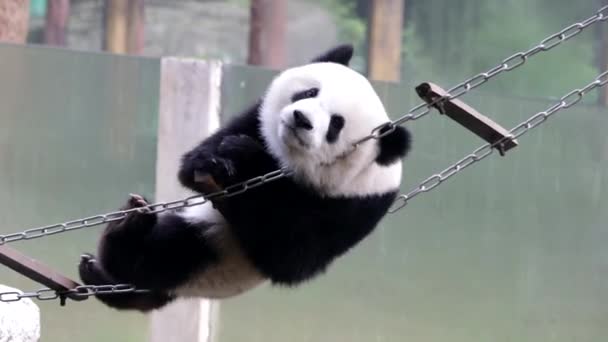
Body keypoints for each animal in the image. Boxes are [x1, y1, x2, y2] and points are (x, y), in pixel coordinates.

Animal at [78, 44, 410, 312]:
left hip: (207, 252)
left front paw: (246, 157)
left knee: (159, 257)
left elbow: (289, 256)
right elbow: (192, 165)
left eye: (336, 124)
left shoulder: (355, 204)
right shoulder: (256, 119)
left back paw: (123, 240)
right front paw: (217, 159)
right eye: (309, 92)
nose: (301, 119)